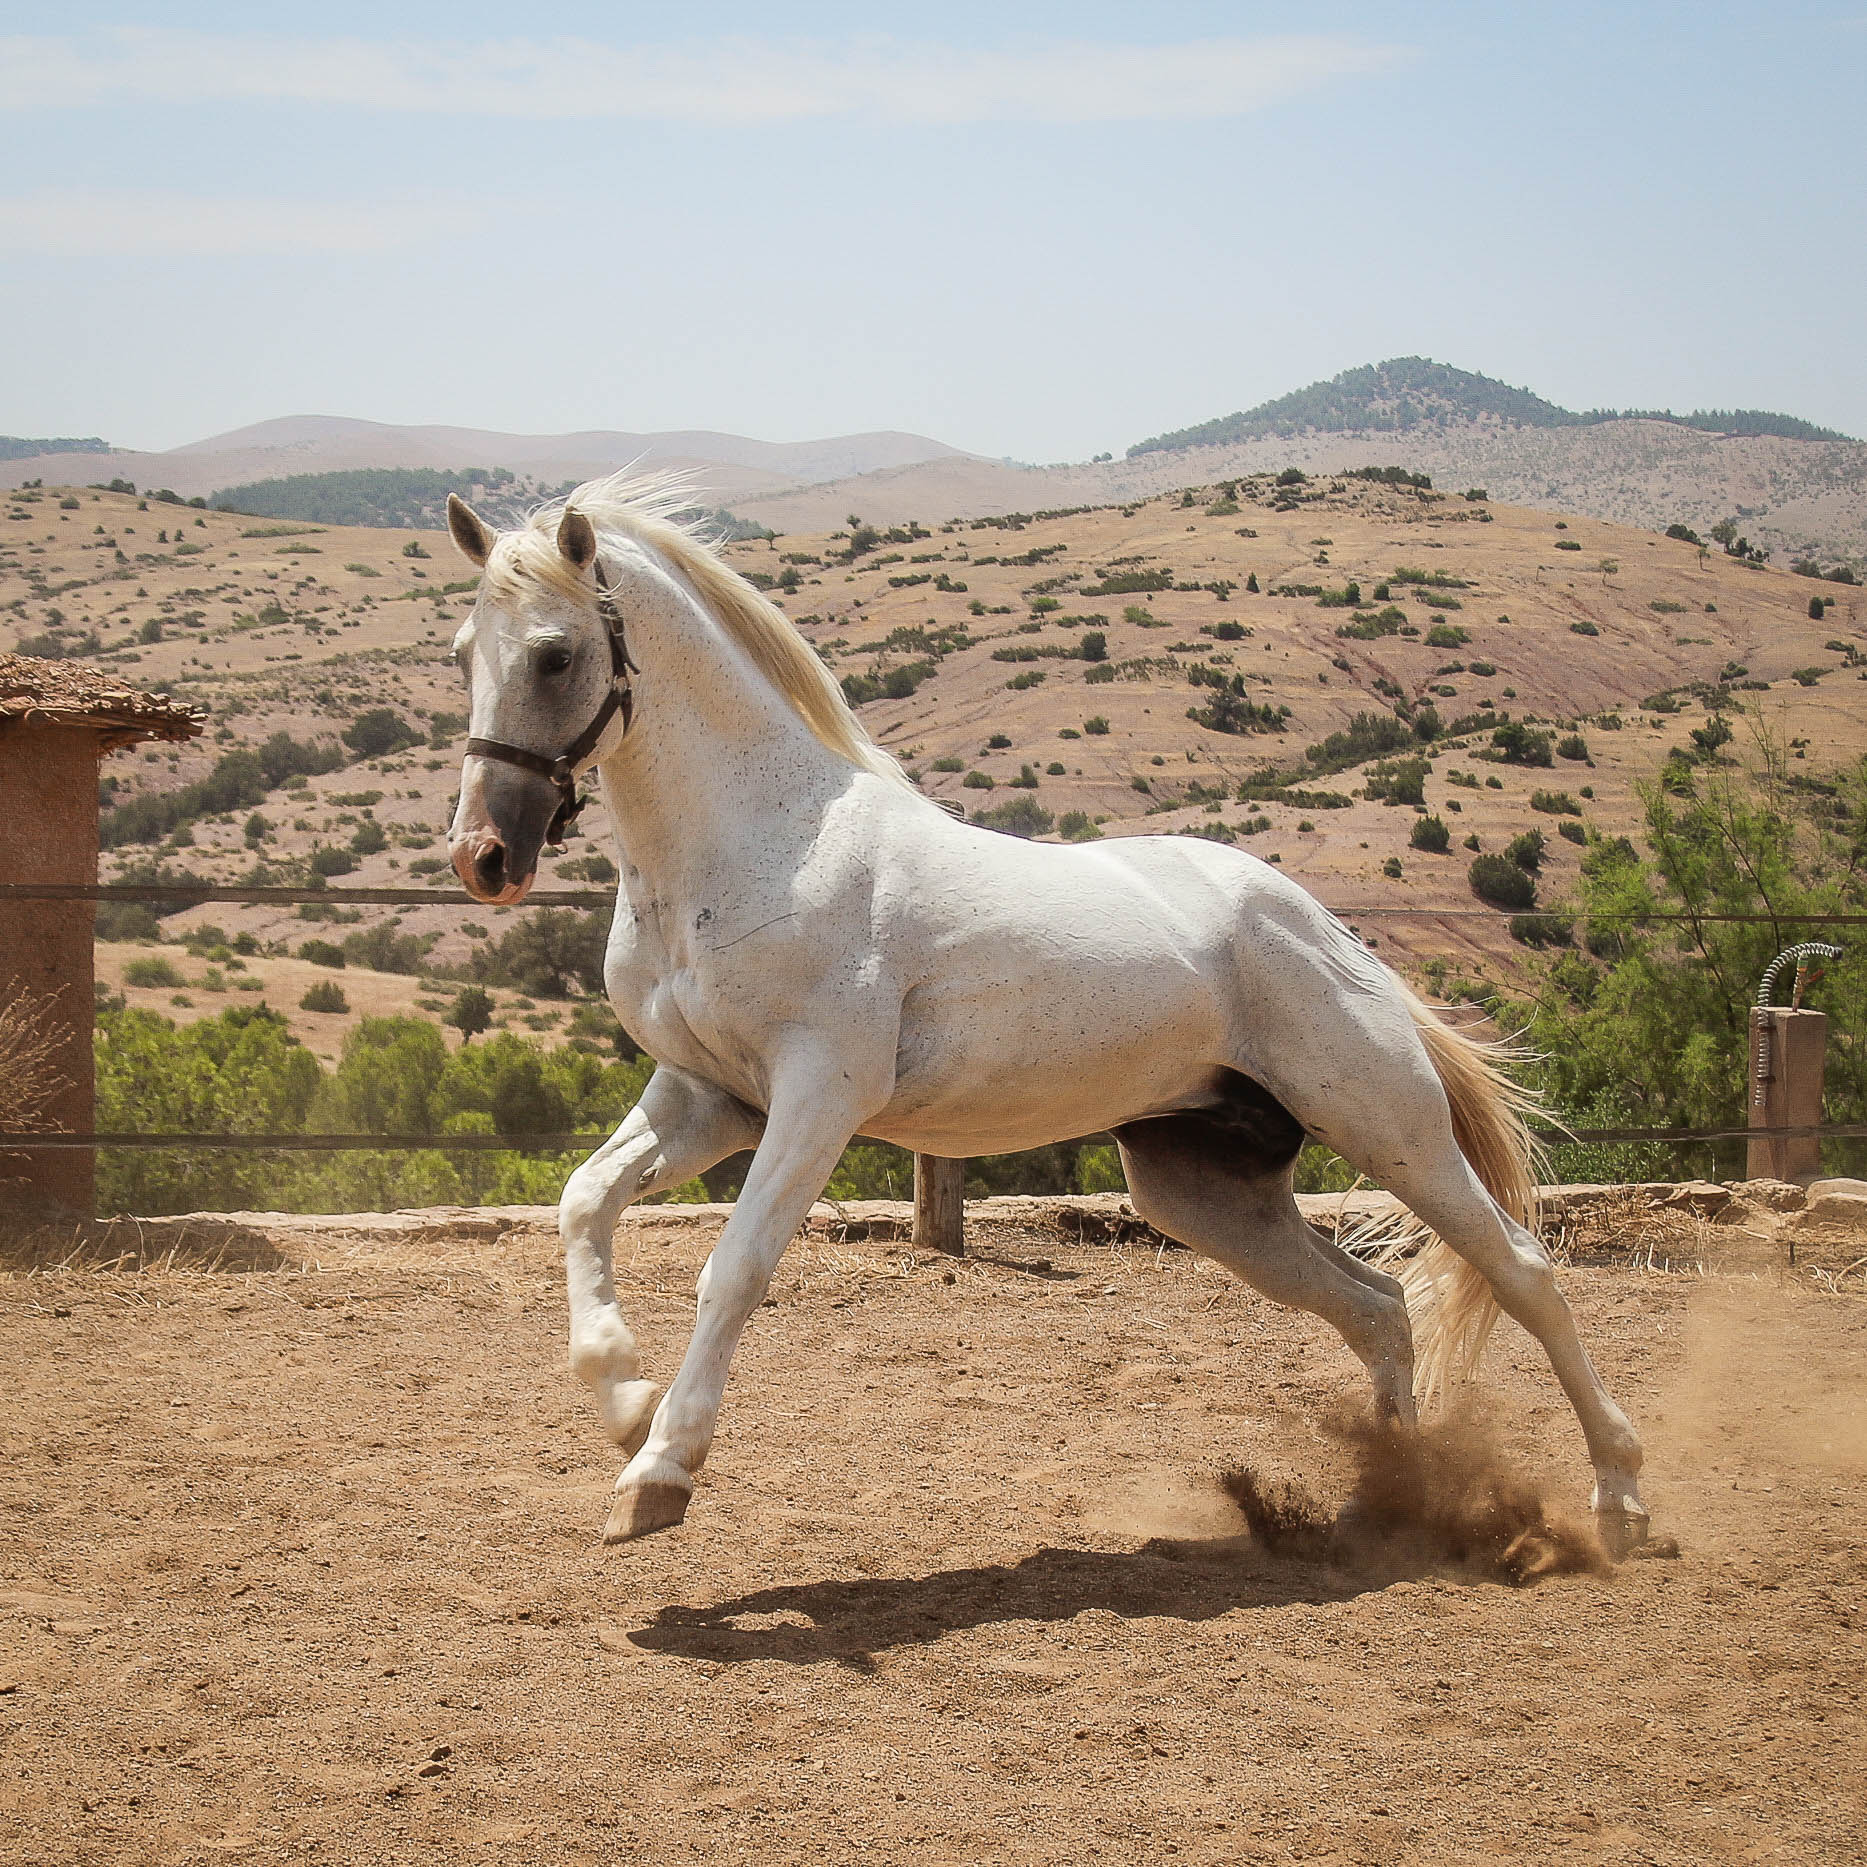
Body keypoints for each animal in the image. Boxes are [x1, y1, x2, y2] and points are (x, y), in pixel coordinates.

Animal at [440, 474, 1650, 1553]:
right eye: (462, 652)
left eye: (553, 654)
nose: (484, 858)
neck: (754, 845)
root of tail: (1327, 931)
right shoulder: (706, 1096)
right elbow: (582, 1200)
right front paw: (621, 1397)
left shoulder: (816, 1096)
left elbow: (732, 1269)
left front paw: (656, 1475)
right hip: (1202, 1188)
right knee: (1379, 1304)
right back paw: (1388, 1508)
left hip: (1386, 1125)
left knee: (1523, 1272)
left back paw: (1622, 1504)